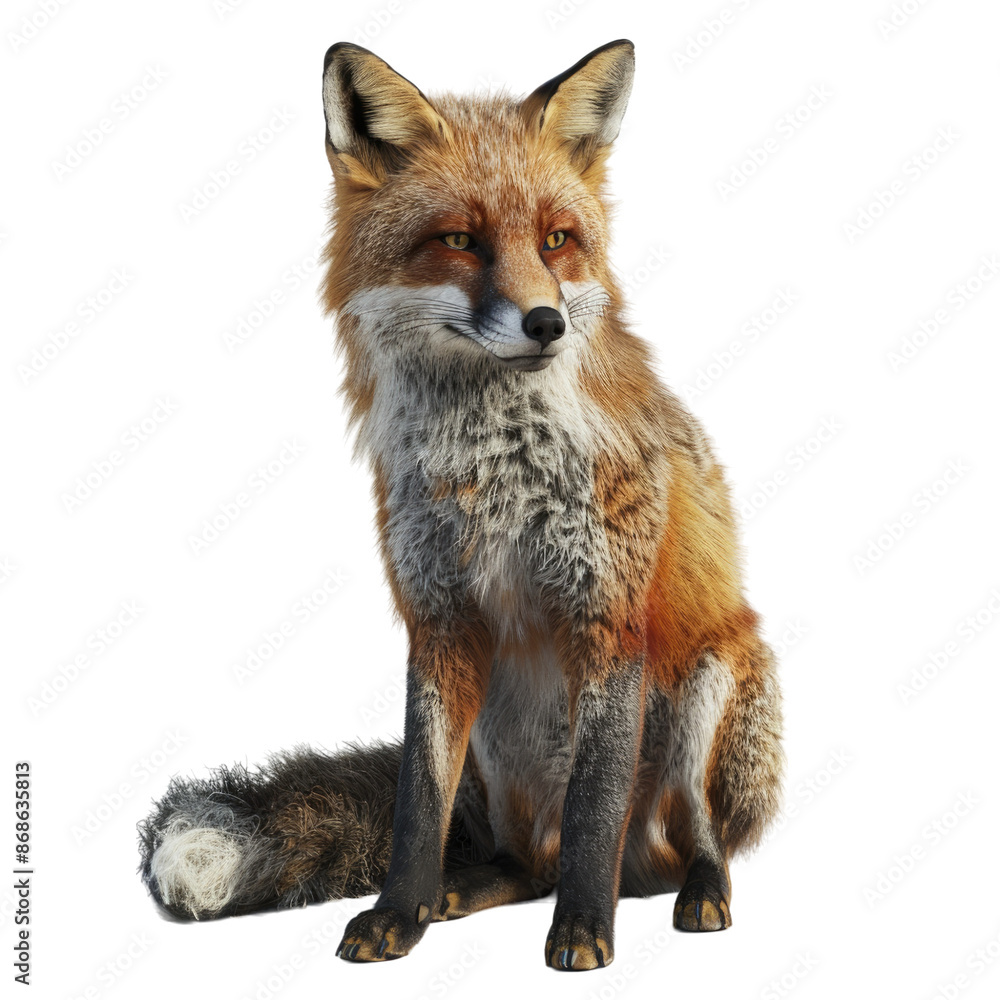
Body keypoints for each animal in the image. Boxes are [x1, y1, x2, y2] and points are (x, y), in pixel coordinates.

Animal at [138, 39, 784, 971]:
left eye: (556, 240)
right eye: (458, 242)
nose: (547, 323)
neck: (495, 473)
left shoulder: (608, 617)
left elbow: (595, 808)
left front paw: (583, 933)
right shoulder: (438, 619)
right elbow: (417, 801)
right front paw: (396, 914)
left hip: (708, 691)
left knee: (688, 842)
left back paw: (694, 895)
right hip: (497, 733)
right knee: (523, 860)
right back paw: (461, 890)